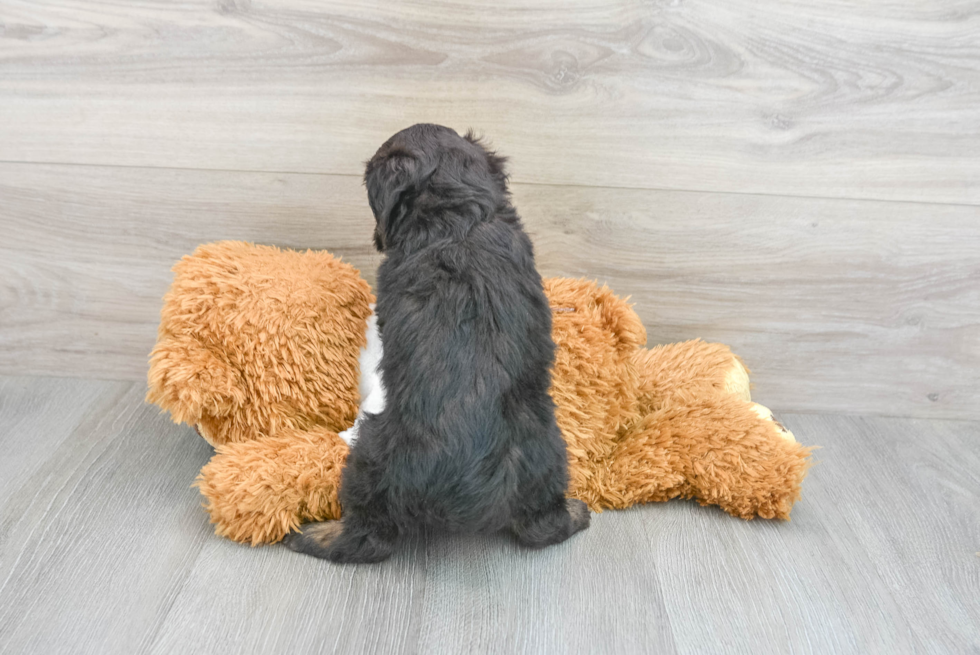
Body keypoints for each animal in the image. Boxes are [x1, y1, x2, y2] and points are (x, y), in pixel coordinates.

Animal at [284, 124, 588, 564]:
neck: (458, 218)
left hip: (371, 458)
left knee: (367, 538)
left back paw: (311, 535)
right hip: (548, 455)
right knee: (542, 526)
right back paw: (576, 513)